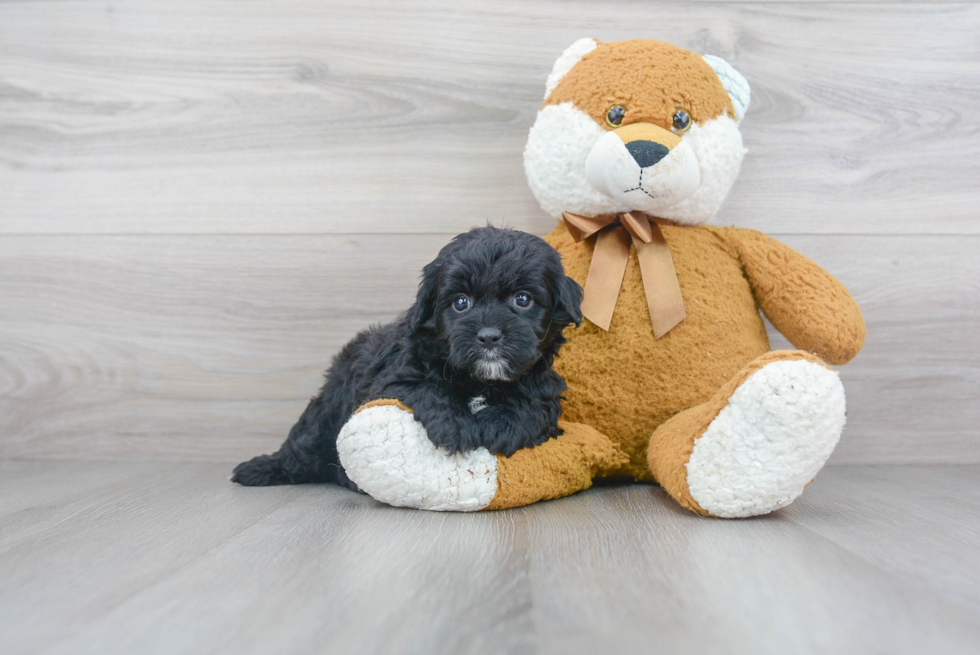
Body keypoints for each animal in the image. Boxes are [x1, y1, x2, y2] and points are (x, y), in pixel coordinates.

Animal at [230, 226, 580, 486]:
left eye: (523, 299)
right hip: (323, 414)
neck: (479, 380)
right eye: (460, 303)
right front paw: (456, 426)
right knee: (301, 445)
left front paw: (500, 424)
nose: (489, 336)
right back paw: (259, 469)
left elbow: (534, 404)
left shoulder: (545, 386)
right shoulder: (390, 378)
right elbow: (426, 388)